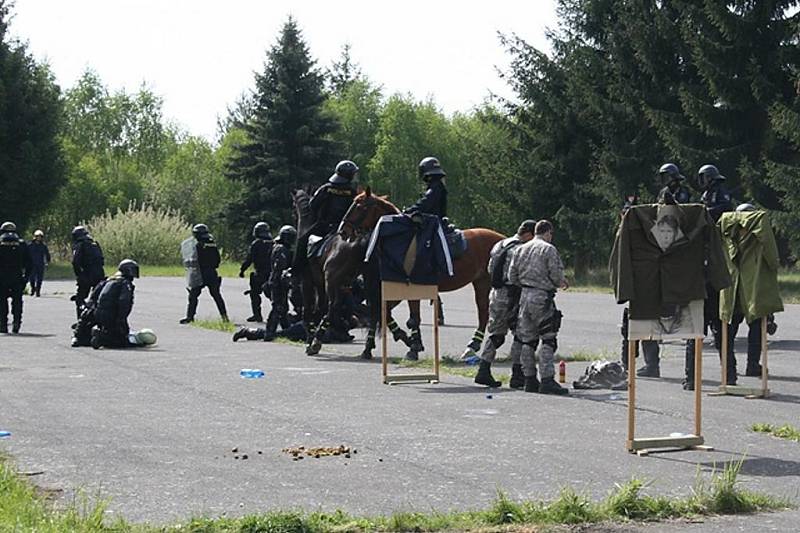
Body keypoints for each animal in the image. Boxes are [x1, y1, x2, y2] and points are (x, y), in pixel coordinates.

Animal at [340, 186, 504, 358]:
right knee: (483, 312)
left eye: (359, 206)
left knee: (484, 313)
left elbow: (408, 317)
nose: (343, 230)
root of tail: (502, 238)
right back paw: (473, 345)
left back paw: (474, 345)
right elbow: (384, 313)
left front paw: (412, 346)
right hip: (481, 282)